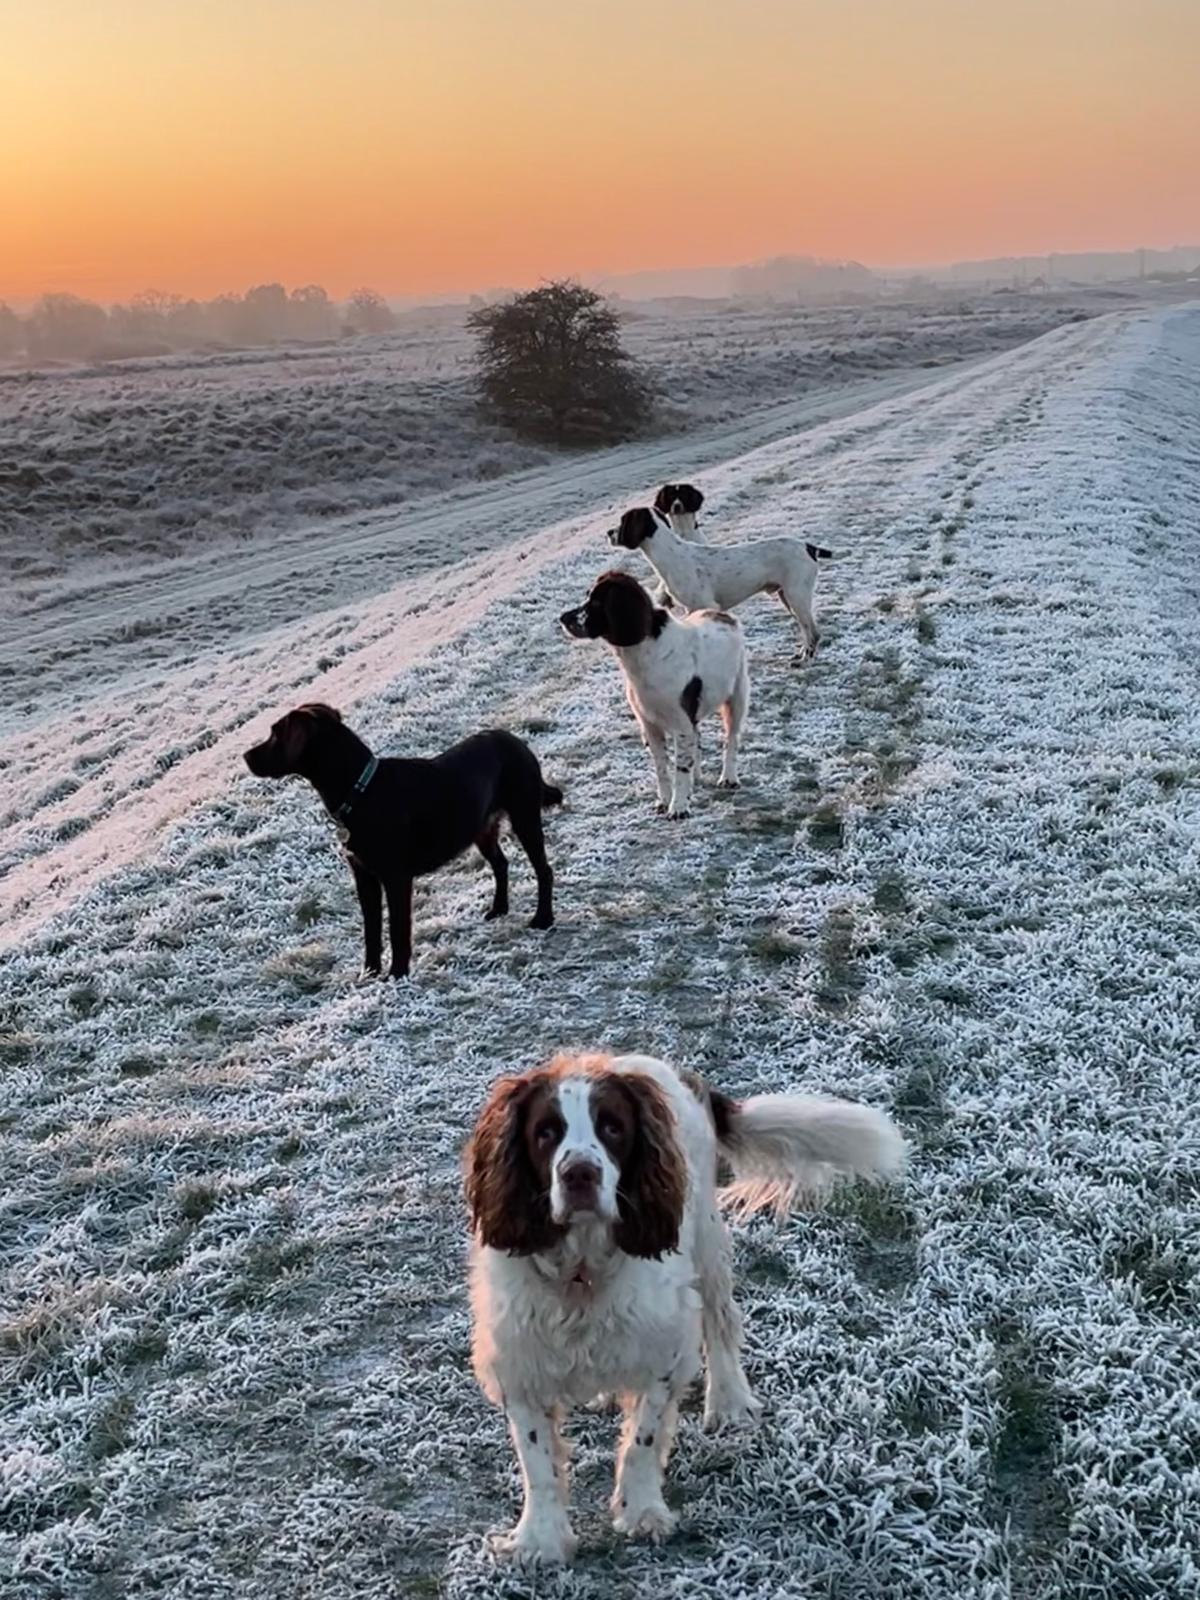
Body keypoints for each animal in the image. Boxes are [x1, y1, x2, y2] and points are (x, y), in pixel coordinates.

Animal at [243, 705, 560, 978]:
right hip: (481, 828)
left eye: (275, 733)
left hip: (525, 816)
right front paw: (369, 973)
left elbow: (397, 929)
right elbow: (371, 930)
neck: (361, 790)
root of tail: (517, 741)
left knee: (544, 870)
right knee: (501, 864)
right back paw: (499, 908)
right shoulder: (364, 876)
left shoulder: (395, 877)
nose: (245, 756)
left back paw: (543, 918)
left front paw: (397, 974)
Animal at [465, 1050, 904, 1564]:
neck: (583, 1273)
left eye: (612, 1127)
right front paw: (540, 1539)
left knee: (722, 1322)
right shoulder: (520, 1364)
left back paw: (729, 1400)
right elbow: (539, 1464)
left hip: (706, 1243)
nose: (580, 1174)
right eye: (545, 1132)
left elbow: (642, 1439)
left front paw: (639, 1512)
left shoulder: (665, 1351)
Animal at [559, 571, 748, 818]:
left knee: (731, 738)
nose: (563, 618)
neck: (647, 653)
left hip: (737, 696)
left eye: (598, 603)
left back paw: (729, 777)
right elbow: (662, 767)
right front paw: (666, 800)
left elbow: (680, 767)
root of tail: (724, 615)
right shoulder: (650, 724)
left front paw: (678, 807)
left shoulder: (680, 723)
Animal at [610, 506, 832, 660]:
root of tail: (809, 547)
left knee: (813, 632)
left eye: (623, 521)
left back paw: (805, 659)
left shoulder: (705, 606)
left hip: (797, 597)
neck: (671, 556)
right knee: (808, 631)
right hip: (787, 597)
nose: (608, 533)